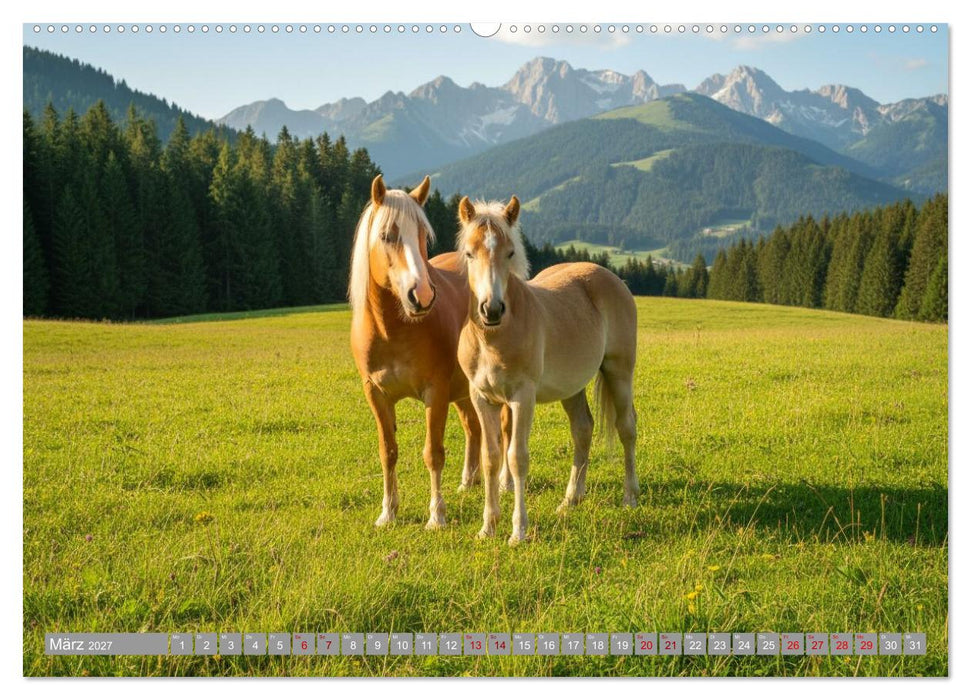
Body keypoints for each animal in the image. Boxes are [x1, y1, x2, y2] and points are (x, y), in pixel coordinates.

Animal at [349, 174, 484, 530]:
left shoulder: (435, 392)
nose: (421, 295)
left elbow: (433, 453)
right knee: (474, 428)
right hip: (463, 390)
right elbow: (388, 451)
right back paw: (468, 481)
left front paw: (437, 515)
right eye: (386, 235)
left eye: (423, 235)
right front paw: (388, 512)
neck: (392, 330)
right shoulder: (375, 394)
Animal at [456, 196, 640, 545]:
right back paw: (571, 499)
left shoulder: (522, 397)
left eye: (510, 252)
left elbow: (516, 458)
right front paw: (488, 527)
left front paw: (518, 531)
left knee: (626, 428)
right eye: (470, 254)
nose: (491, 310)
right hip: (572, 387)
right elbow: (491, 458)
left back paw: (629, 497)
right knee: (583, 429)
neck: (493, 339)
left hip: (619, 373)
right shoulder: (481, 398)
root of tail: (611, 278)